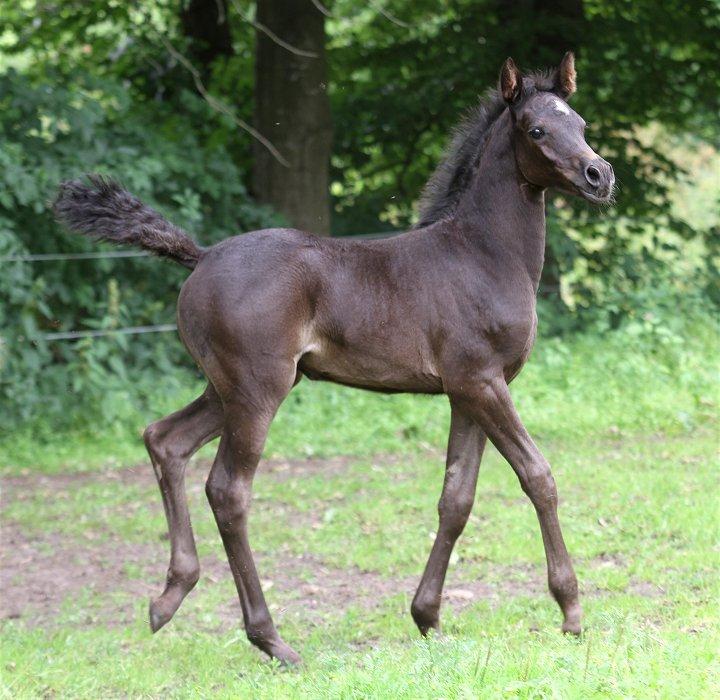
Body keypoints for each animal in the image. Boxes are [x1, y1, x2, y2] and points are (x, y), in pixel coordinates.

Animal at [54, 52, 612, 664]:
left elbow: (456, 499)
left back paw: (169, 596)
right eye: (537, 130)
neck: (482, 253)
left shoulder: (466, 391)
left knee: (165, 440)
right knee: (228, 491)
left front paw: (428, 618)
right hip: (257, 390)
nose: (599, 175)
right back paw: (272, 641)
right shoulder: (484, 383)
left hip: (228, 389)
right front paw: (571, 612)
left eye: (581, 123)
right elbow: (539, 476)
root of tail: (200, 257)